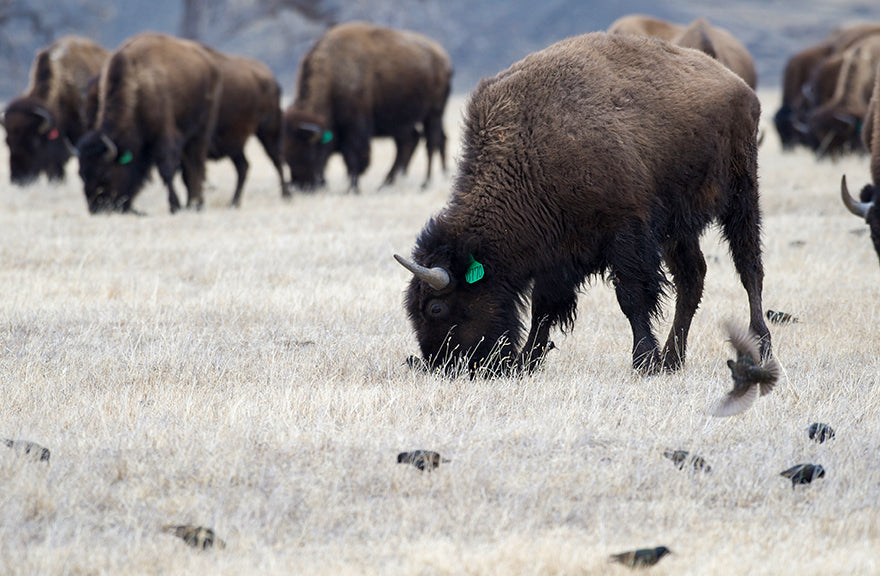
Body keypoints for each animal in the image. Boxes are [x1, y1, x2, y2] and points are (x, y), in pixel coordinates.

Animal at [75, 31, 222, 213]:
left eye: (106, 174)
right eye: (81, 174)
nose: (96, 208)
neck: (136, 84)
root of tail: (210, 64)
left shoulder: (164, 136)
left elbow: (166, 171)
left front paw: (174, 205)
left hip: (201, 131)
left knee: (197, 165)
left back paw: (196, 204)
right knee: (190, 167)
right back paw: (192, 203)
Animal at [286, 22, 454, 194]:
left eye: (308, 153)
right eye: (286, 157)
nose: (302, 186)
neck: (334, 75)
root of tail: (443, 58)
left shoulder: (357, 126)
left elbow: (353, 155)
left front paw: (353, 189)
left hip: (433, 114)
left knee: (431, 142)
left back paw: (425, 182)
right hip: (401, 122)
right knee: (408, 143)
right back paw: (385, 183)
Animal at [394, 31, 768, 376]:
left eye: (436, 308)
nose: (442, 365)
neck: (531, 154)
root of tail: (739, 87)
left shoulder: (626, 233)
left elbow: (632, 297)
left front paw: (643, 362)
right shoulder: (558, 255)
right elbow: (544, 307)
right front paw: (528, 361)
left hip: (742, 195)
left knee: (749, 267)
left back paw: (760, 347)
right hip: (679, 228)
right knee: (693, 277)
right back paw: (673, 360)